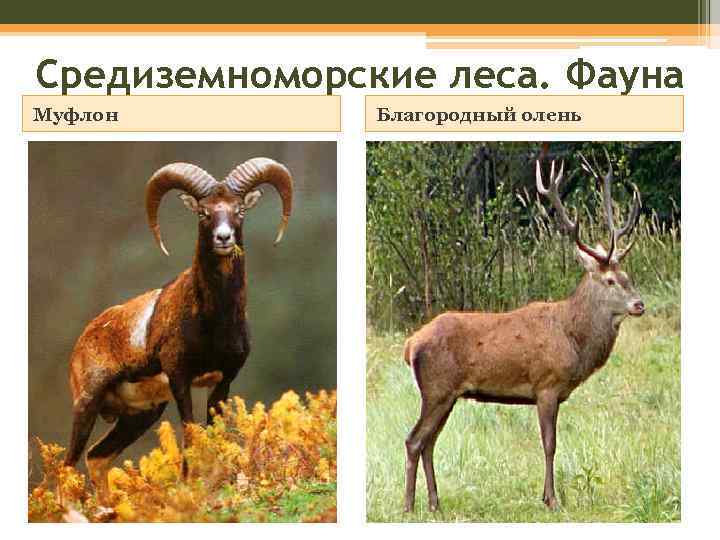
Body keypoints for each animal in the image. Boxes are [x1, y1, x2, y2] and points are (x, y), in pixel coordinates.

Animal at [402, 152, 643, 512]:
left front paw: (547, 496)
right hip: (436, 389)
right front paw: (552, 499)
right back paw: (408, 505)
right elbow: (549, 444)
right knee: (414, 440)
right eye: (610, 280)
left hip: (447, 395)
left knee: (429, 442)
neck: (573, 339)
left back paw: (434, 503)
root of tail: (410, 344)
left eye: (627, 276)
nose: (639, 304)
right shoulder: (546, 384)